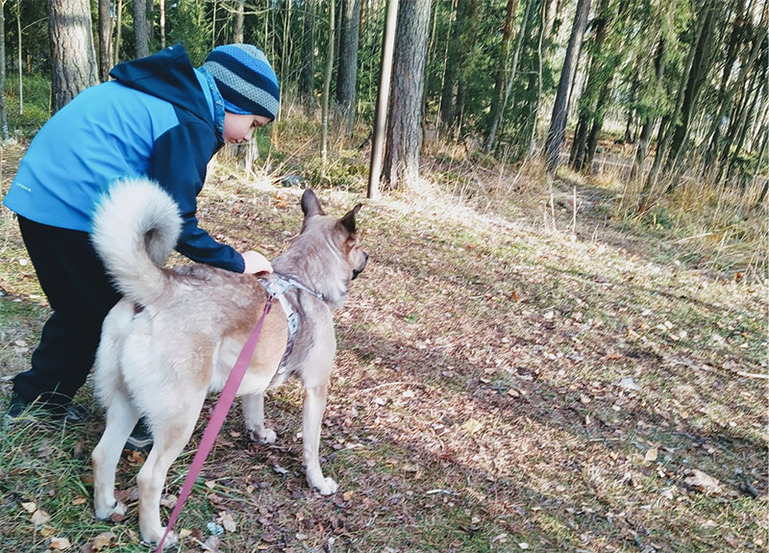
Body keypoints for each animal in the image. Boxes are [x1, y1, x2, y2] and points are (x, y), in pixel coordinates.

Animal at [90, 179, 366, 544]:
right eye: (359, 244)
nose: (368, 256)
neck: (303, 277)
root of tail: (161, 289)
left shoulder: (257, 374)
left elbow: (255, 408)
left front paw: (259, 433)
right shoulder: (316, 389)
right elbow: (311, 446)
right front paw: (318, 482)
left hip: (126, 402)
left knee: (103, 454)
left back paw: (106, 507)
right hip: (181, 418)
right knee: (149, 476)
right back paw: (155, 532)